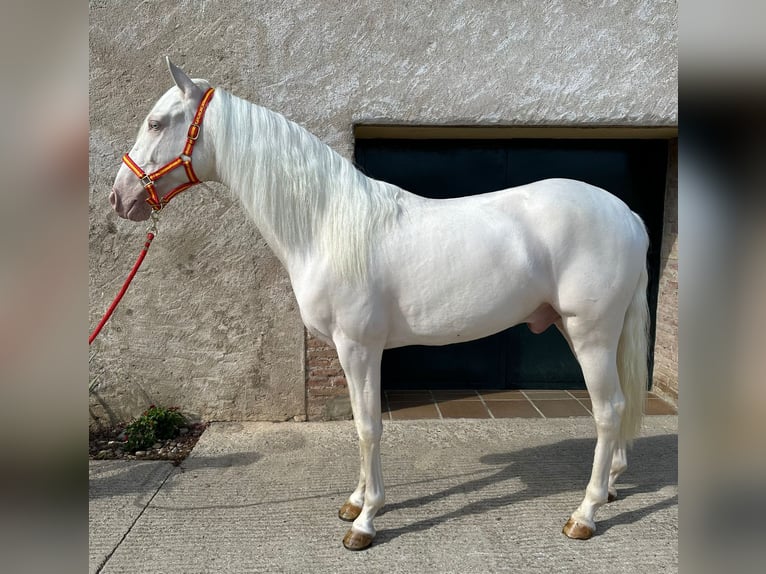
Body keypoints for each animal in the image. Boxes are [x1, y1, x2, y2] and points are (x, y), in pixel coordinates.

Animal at [109, 59, 648, 552]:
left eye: (156, 123)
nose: (119, 197)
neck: (326, 224)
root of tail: (627, 214)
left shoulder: (359, 347)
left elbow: (369, 428)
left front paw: (365, 523)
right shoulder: (352, 353)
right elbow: (357, 424)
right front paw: (355, 502)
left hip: (591, 333)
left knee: (609, 410)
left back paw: (585, 514)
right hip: (576, 330)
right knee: (619, 407)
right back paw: (611, 487)